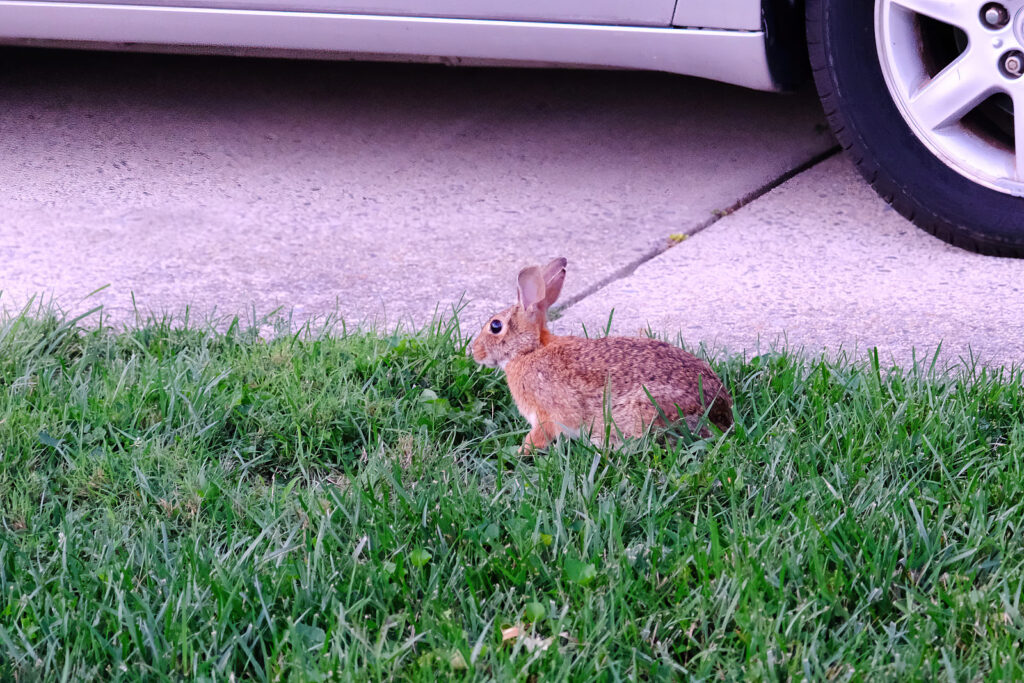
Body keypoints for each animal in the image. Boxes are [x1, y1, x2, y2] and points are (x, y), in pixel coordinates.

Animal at [473, 255, 737, 454]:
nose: (475, 352)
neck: (530, 349)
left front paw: (519, 452)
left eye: (495, 326)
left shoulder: (546, 415)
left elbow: (538, 437)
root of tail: (720, 414)